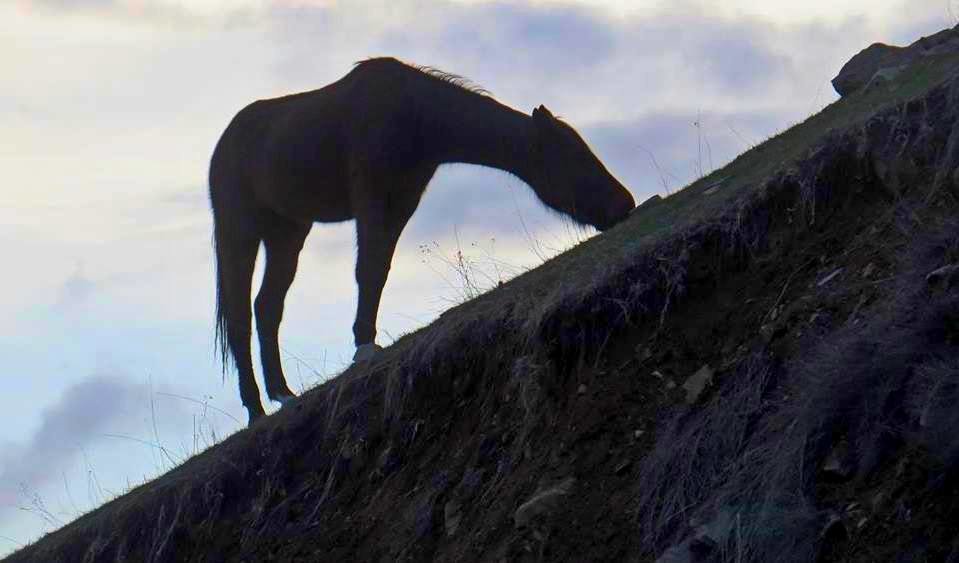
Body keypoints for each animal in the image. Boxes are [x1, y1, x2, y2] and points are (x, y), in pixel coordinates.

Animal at [208, 58, 636, 428]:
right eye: (575, 157)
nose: (625, 203)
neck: (415, 116)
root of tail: (223, 144)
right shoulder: (372, 202)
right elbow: (367, 270)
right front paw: (364, 349)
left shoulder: (400, 206)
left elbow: (379, 271)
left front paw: (365, 342)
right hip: (240, 233)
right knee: (241, 315)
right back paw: (255, 409)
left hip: (288, 232)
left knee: (267, 307)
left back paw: (282, 393)